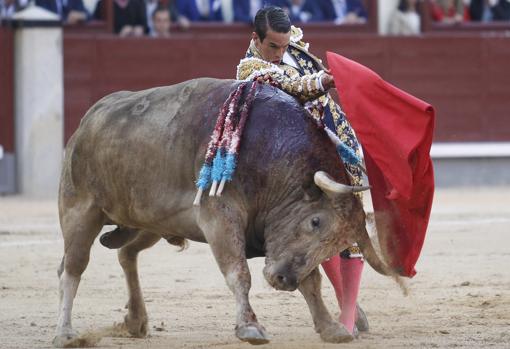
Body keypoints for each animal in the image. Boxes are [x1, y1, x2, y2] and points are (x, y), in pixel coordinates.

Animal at [52, 77, 390, 346]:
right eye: (316, 221)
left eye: (337, 244)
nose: (284, 280)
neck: (271, 158)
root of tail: (87, 120)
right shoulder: (220, 218)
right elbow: (238, 273)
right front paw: (250, 327)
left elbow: (312, 281)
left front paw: (331, 327)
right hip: (80, 210)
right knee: (72, 267)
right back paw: (66, 333)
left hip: (151, 222)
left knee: (126, 254)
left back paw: (136, 321)